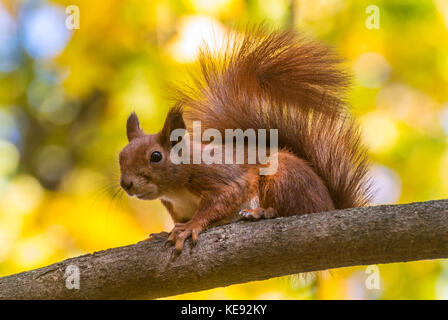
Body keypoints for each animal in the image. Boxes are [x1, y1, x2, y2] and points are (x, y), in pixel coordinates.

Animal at [118, 26, 372, 252]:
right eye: (120, 157)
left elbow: (224, 197)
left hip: (283, 176)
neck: (176, 191)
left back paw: (262, 212)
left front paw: (190, 227)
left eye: (156, 156)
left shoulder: (221, 175)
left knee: (294, 209)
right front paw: (165, 232)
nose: (126, 184)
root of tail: (330, 205)